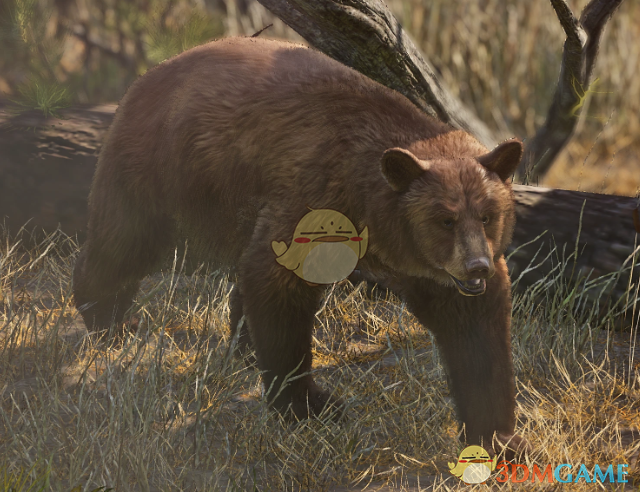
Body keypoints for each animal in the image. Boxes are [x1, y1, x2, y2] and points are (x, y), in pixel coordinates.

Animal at [73, 36, 526, 457]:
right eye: (444, 219)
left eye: (487, 214)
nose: (477, 267)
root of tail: (150, 74)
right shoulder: (313, 199)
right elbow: (278, 288)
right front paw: (311, 405)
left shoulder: (433, 272)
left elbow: (475, 336)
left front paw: (499, 438)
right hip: (165, 171)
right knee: (123, 242)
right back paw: (107, 317)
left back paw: (241, 348)